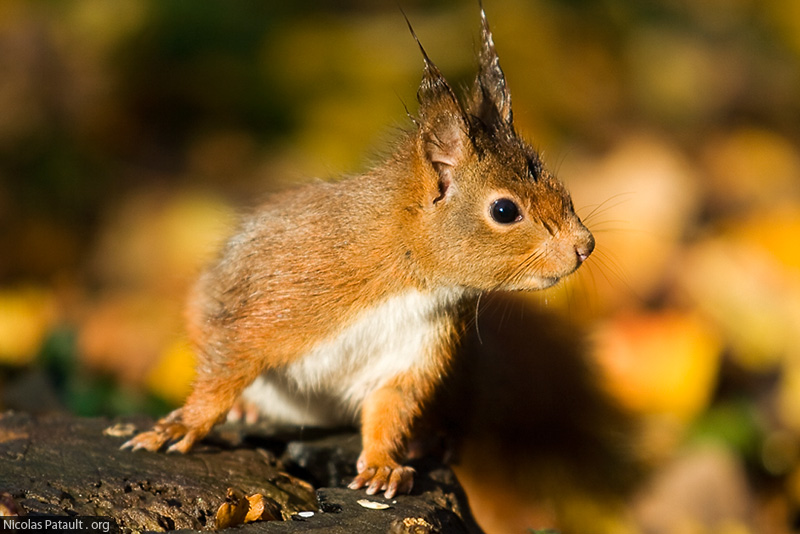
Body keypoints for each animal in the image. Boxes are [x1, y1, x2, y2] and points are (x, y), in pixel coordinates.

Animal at [120, 8, 592, 502]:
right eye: (504, 211)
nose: (585, 246)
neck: (407, 275)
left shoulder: (411, 354)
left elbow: (389, 410)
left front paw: (384, 466)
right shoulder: (268, 302)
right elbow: (223, 369)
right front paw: (182, 426)